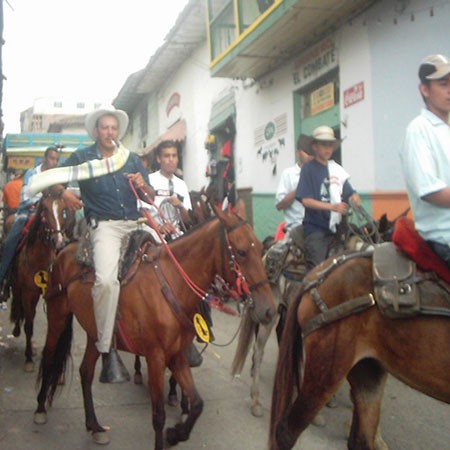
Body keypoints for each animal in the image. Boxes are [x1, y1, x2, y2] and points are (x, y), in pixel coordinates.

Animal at [7, 188, 74, 370]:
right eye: (44, 209)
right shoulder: (27, 291)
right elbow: (29, 324)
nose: (59, 242)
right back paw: (16, 329)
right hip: (17, 285)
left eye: (63, 209)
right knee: (18, 305)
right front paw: (29, 358)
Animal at [33, 202, 276, 448]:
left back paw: (94, 426)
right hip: (57, 318)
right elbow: (158, 415)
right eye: (242, 252)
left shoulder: (177, 355)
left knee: (86, 372)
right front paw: (167, 435)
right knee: (49, 356)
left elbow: (197, 404)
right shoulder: (156, 357)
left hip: (95, 333)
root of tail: (64, 250)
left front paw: (176, 434)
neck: (170, 282)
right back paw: (41, 408)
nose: (269, 310)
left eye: (260, 249)